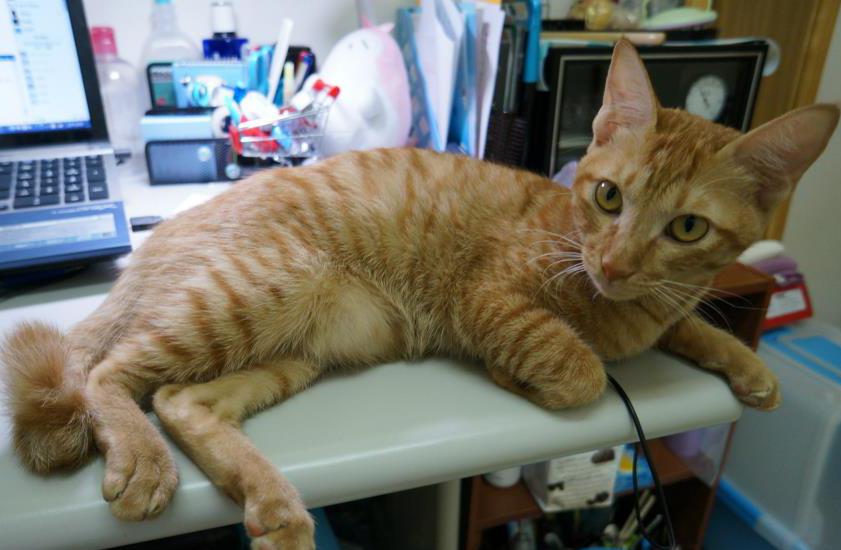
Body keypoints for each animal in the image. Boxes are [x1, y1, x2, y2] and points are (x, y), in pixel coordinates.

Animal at [1, 40, 837, 550]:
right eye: (608, 196)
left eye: (687, 227)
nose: (616, 259)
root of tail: (154, 240)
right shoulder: (488, 300)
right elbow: (579, 369)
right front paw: (530, 372)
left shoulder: (659, 306)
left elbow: (687, 324)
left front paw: (746, 363)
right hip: (262, 291)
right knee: (107, 375)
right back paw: (143, 456)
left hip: (293, 350)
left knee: (179, 399)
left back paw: (273, 508)